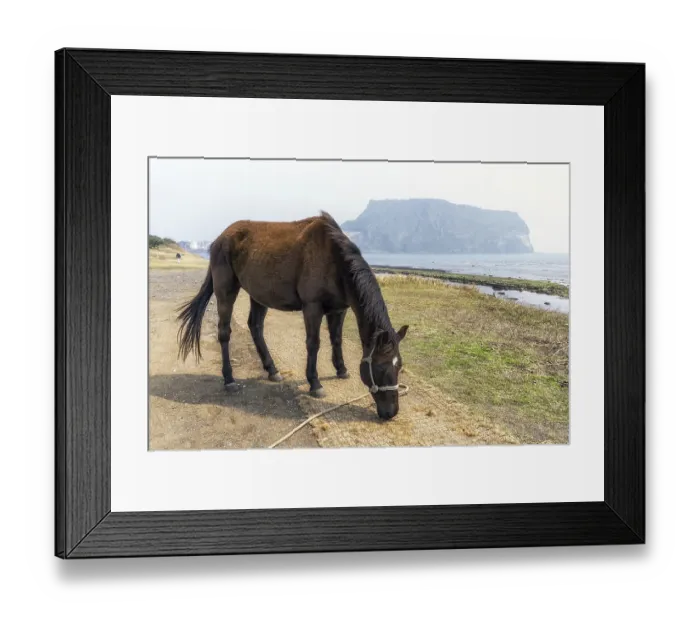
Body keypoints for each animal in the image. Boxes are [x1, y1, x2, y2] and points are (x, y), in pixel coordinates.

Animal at [176, 211, 409, 420]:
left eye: (399, 365)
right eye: (381, 367)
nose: (391, 412)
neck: (334, 259)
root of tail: (220, 238)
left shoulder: (339, 309)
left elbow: (336, 340)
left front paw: (341, 369)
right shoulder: (312, 307)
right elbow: (313, 344)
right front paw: (315, 383)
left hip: (258, 295)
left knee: (255, 327)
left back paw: (272, 370)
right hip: (226, 292)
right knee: (224, 333)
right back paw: (229, 379)